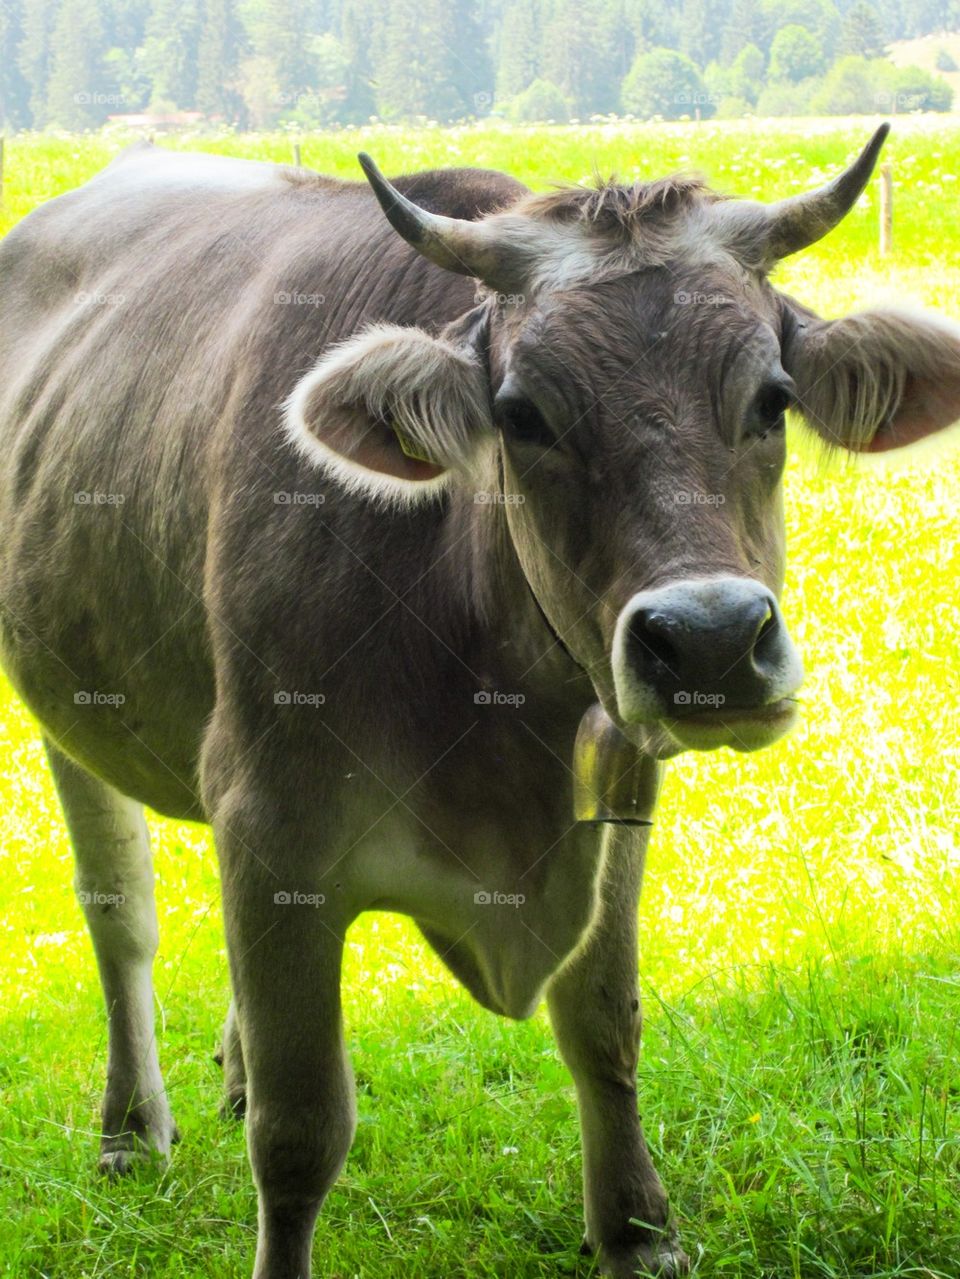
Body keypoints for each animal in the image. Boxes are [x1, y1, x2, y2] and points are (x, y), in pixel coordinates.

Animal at [0, 127, 956, 1279]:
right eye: (522, 414)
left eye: (772, 396)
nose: (712, 639)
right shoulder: (271, 818)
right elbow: (299, 1126)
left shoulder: (613, 798)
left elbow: (604, 1024)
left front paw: (638, 1232)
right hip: (66, 712)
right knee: (121, 919)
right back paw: (133, 1128)